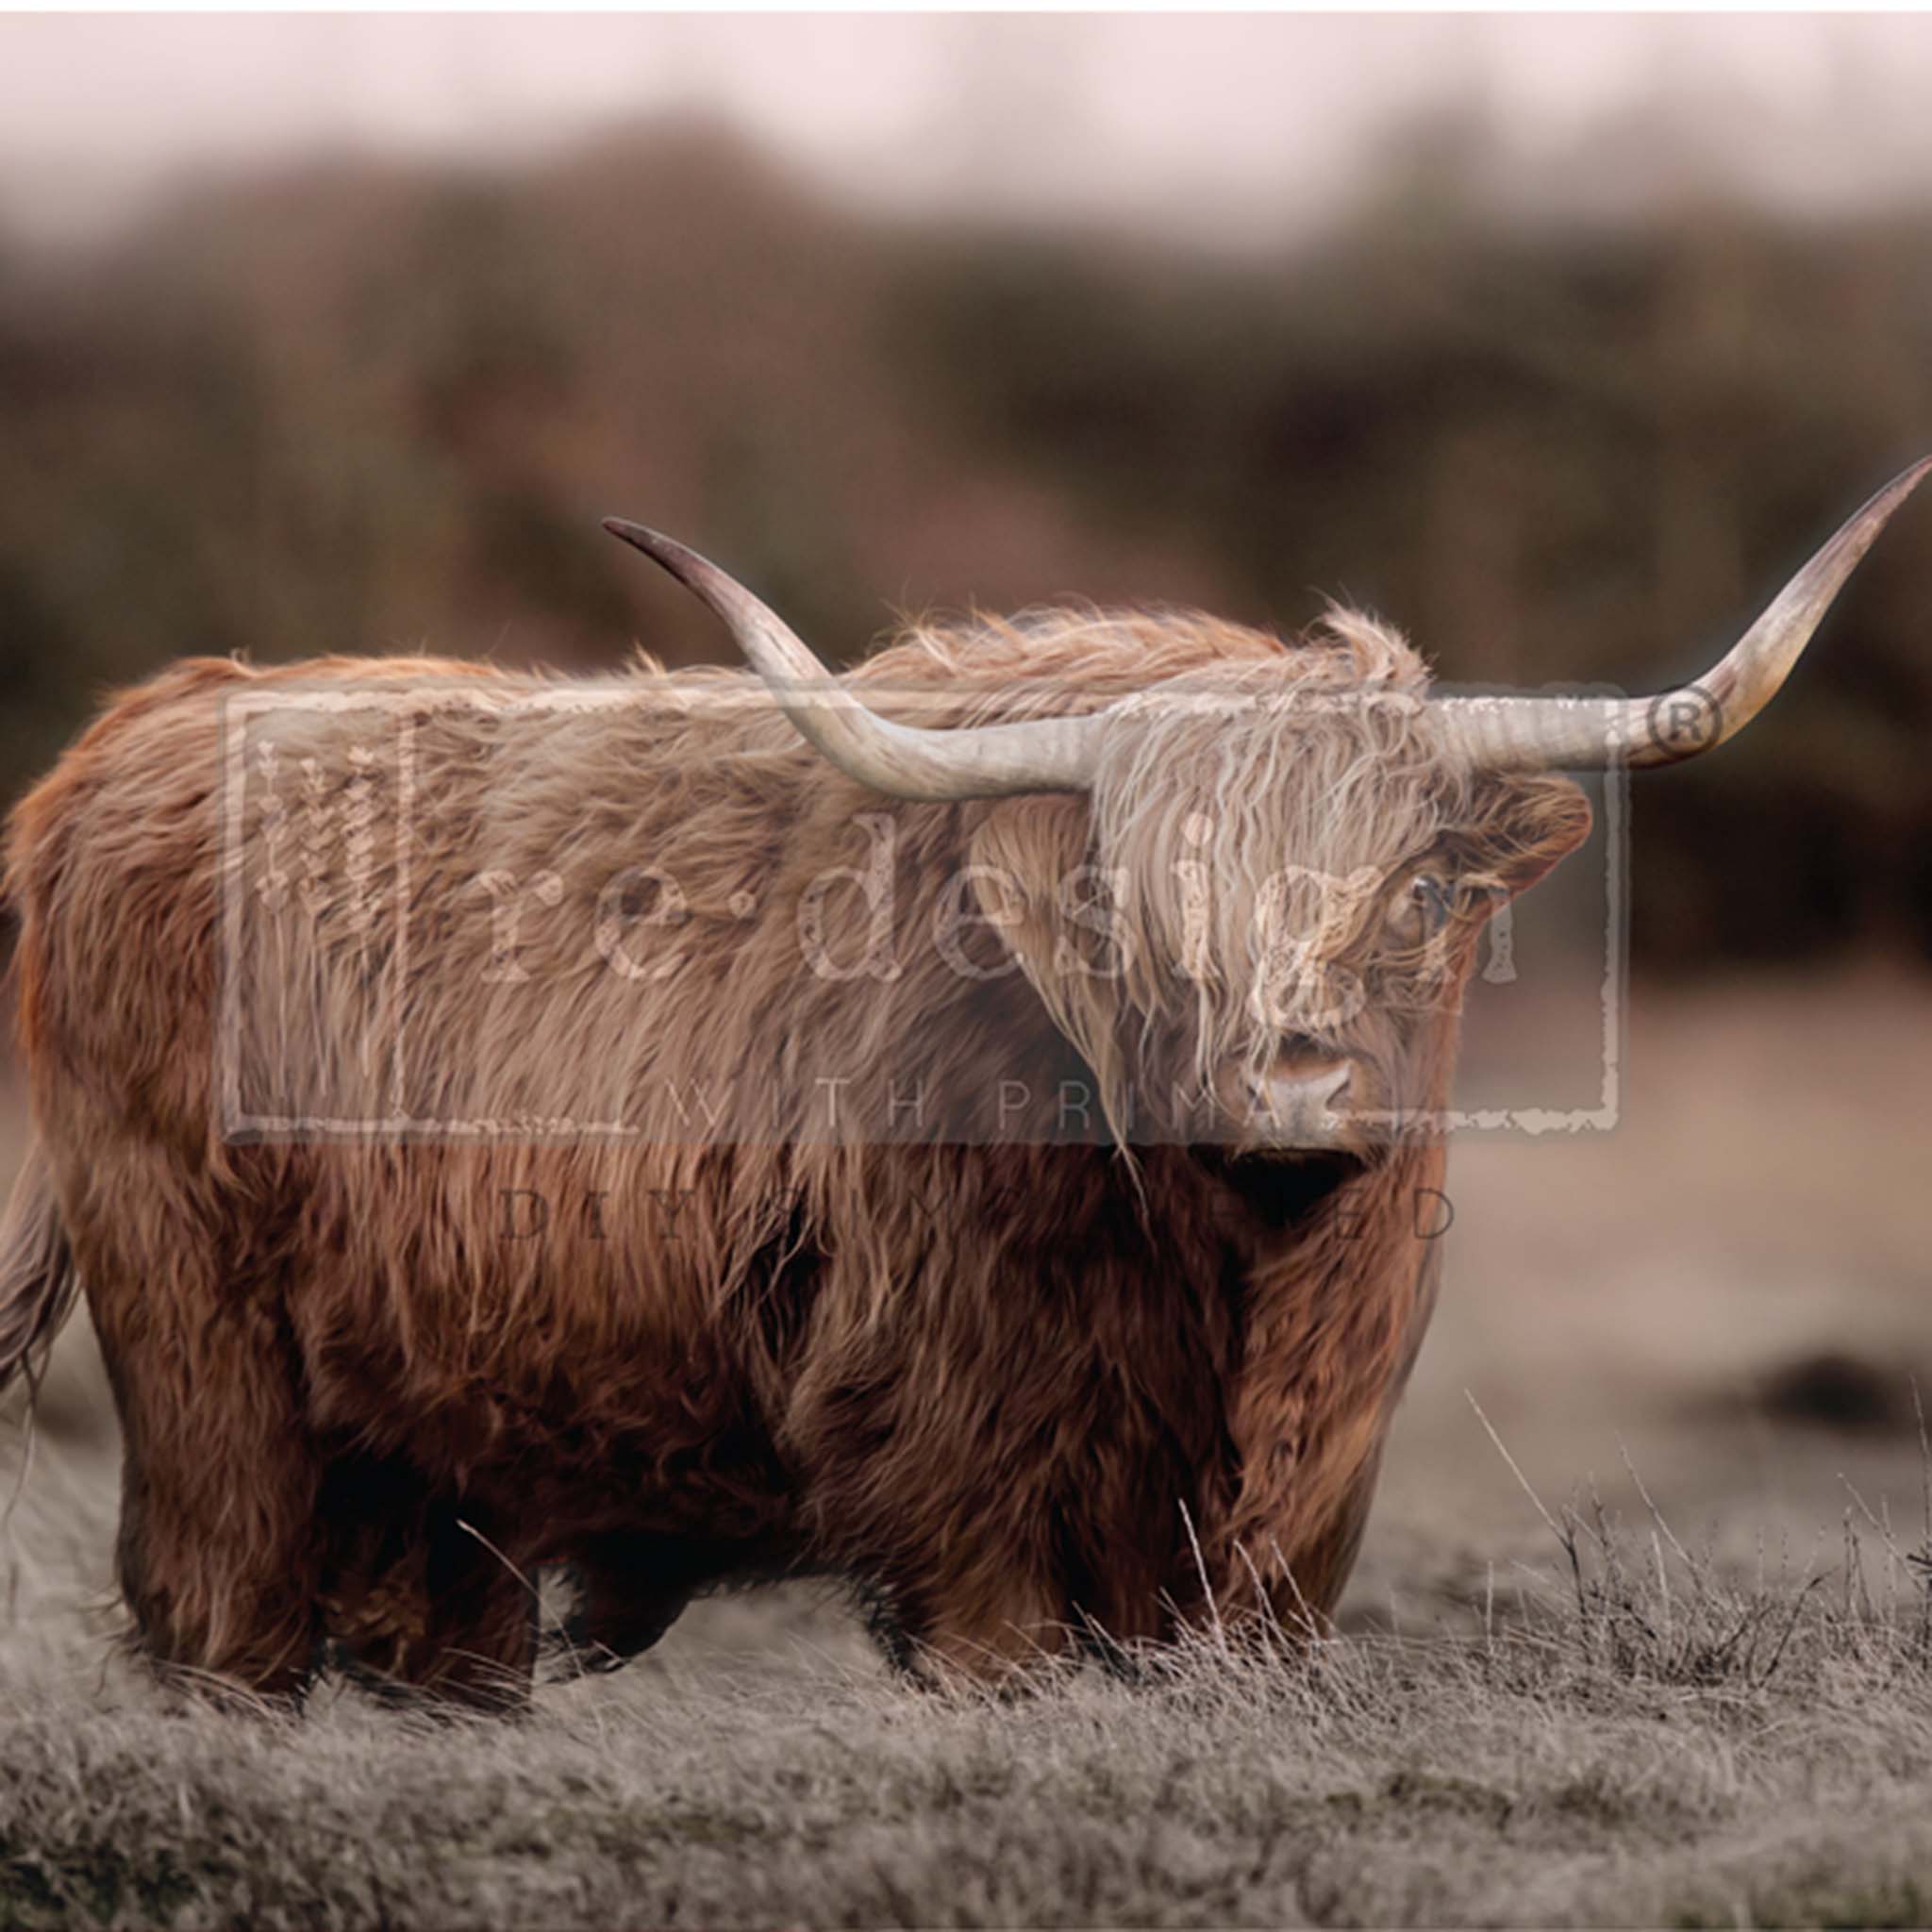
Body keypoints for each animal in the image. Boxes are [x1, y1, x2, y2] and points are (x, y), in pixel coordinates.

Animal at [0, 459, 1924, 1700]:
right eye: (1134, 907)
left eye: (1427, 893)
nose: (1288, 1088)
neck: (1231, 1291)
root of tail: (149, 725)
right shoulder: (959, 1479)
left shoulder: (1297, 1525)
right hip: (209, 1367)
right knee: (222, 1619)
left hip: (439, 1452)